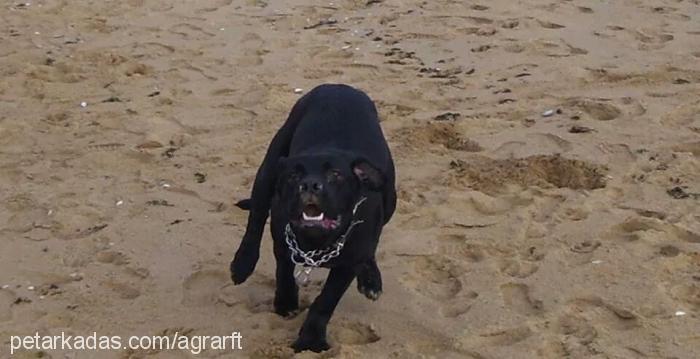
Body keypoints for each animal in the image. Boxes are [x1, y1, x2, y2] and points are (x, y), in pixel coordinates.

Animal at [230, 83, 394, 352]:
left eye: (336, 174)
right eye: (293, 176)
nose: (309, 185)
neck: (318, 240)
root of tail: (338, 86)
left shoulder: (347, 265)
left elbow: (325, 302)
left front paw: (311, 339)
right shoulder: (282, 238)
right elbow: (284, 271)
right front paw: (285, 303)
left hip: (389, 198)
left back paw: (371, 279)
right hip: (268, 170)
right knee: (255, 220)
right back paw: (242, 263)